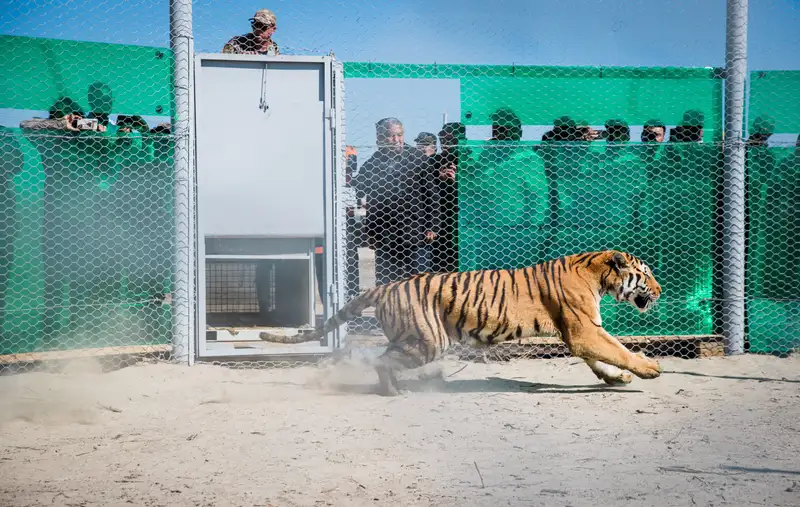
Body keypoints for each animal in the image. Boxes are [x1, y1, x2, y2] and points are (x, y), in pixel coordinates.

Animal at [260, 250, 664, 396]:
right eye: (646, 274)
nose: (660, 290)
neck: (597, 273)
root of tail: (384, 285)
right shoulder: (584, 330)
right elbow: (618, 350)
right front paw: (648, 368)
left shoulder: (582, 333)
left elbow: (601, 359)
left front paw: (618, 378)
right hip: (427, 341)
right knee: (382, 361)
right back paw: (394, 391)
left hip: (410, 338)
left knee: (382, 357)